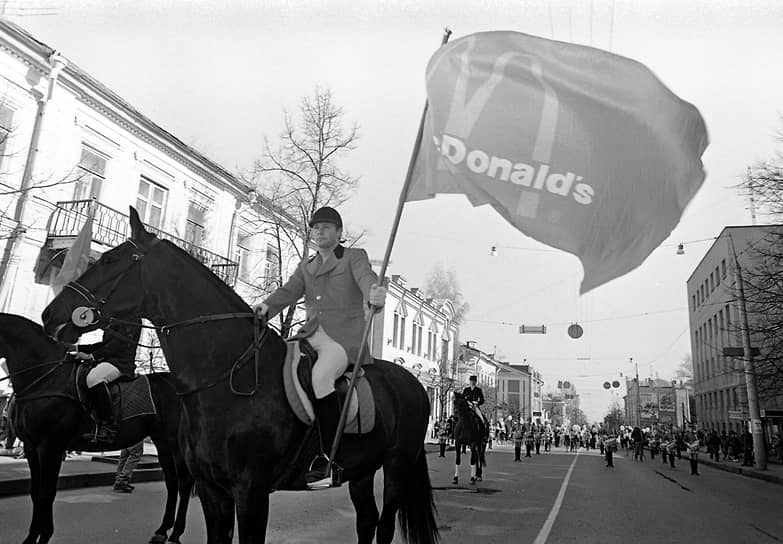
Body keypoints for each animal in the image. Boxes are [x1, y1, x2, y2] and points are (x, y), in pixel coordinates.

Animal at [0, 312, 194, 540]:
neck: (46, 379)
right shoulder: (32, 447)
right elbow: (36, 493)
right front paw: (32, 537)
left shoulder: (50, 447)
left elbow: (47, 493)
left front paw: (44, 535)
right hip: (162, 441)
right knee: (172, 482)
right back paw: (163, 530)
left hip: (175, 443)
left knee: (184, 482)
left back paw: (176, 533)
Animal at [41, 208, 440, 544]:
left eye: (110, 259)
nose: (50, 316)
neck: (227, 375)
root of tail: (412, 383)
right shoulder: (212, 490)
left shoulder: (251, 491)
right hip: (361, 470)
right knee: (367, 521)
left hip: (397, 467)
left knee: (384, 526)